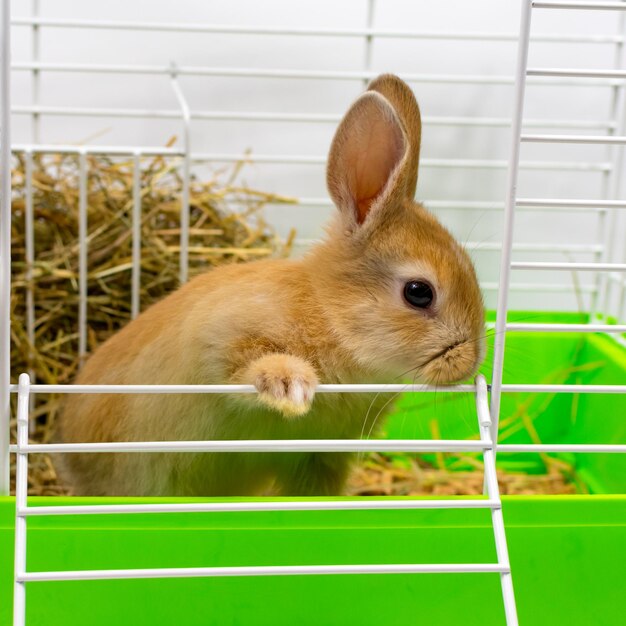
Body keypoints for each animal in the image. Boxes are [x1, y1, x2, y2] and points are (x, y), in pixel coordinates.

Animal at [56, 73, 486, 494]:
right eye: (419, 292)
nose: (467, 364)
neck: (331, 317)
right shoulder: (219, 338)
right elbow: (243, 364)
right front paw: (291, 387)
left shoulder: (321, 459)